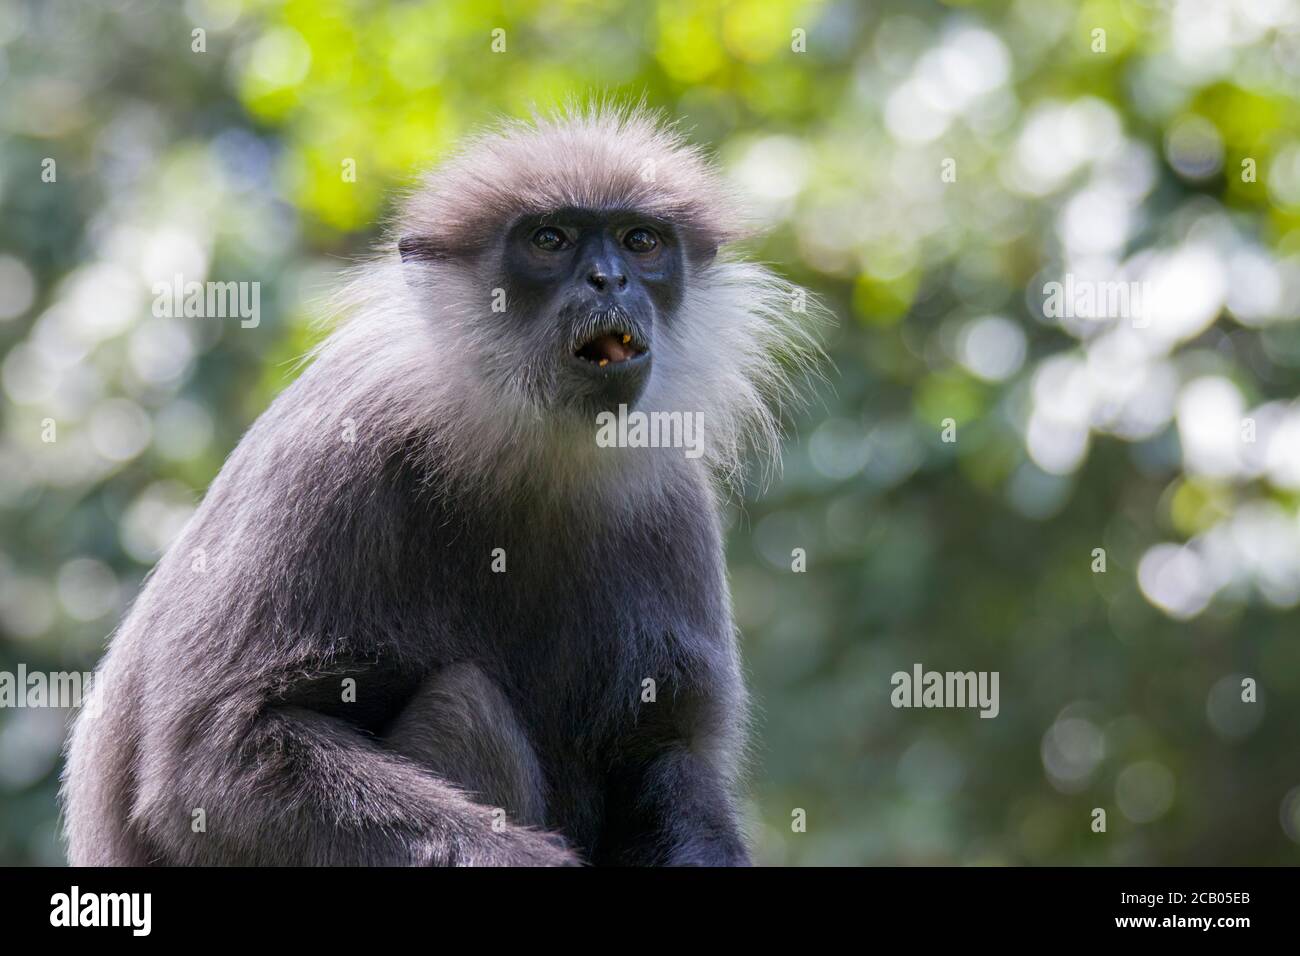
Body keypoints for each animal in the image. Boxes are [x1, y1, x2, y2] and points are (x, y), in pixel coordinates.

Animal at [61, 104, 816, 868]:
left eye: (641, 242)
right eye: (549, 239)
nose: (610, 280)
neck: (532, 451)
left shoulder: (674, 501)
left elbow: (665, 746)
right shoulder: (331, 456)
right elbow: (210, 766)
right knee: (464, 703)